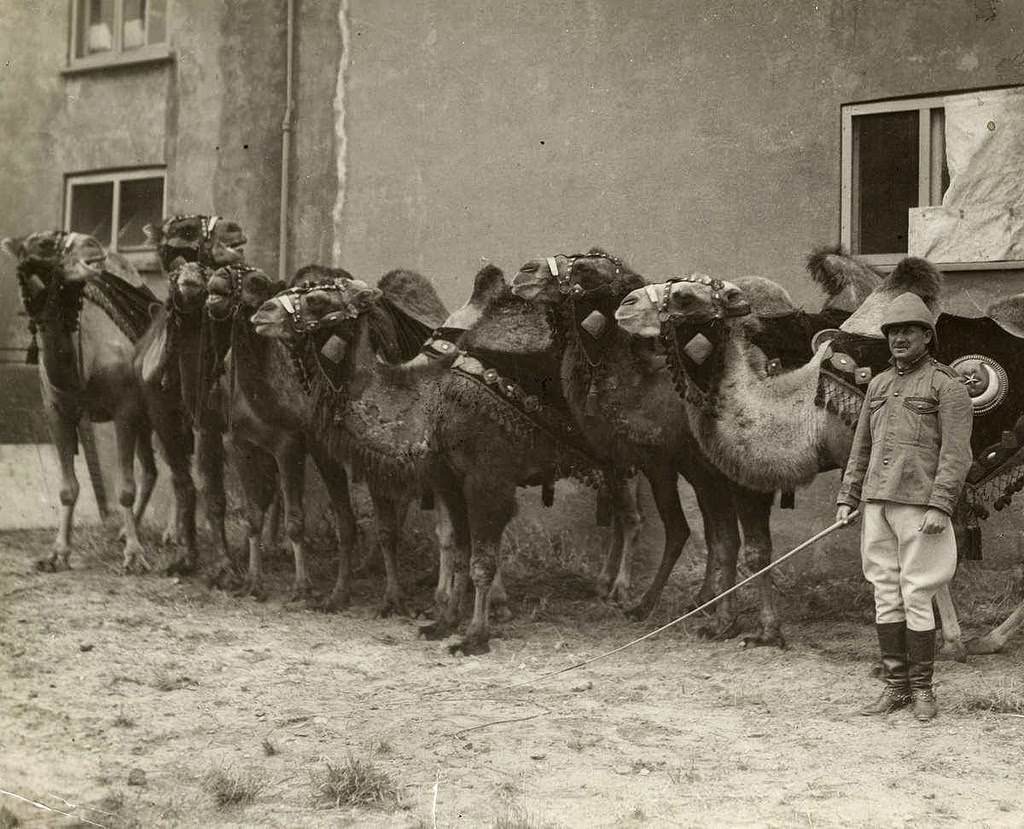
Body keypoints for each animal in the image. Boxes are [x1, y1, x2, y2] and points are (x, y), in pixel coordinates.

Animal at [1, 229, 158, 573]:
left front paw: (135, 555)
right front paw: (57, 553)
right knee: (152, 470)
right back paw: (126, 532)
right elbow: (67, 489)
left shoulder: (124, 409)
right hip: (145, 418)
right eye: (43, 243)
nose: (92, 244)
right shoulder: (56, 412)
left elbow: (124, 488)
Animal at [248, 264, 643, 650]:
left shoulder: (489, 479)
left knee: (633, 517)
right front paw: (444, 622)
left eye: (317, 298)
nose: (262, 312)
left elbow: (481, 561)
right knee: (622, 514)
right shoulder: (449, 479)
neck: (434, 405)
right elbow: (461, 551)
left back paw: (625, 593)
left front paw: (475, 635)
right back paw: (605, 585)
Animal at [614, 264, 1024, 650]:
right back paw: (993, 638)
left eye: (683, 297)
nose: (624, 305)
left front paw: (947, 641)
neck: (806, 409)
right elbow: (747, 549)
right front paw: (751, 631)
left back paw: (989, 638)